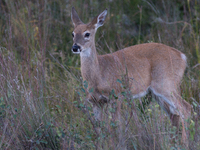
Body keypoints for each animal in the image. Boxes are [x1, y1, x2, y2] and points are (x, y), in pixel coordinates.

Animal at [70, 6, 191, 148]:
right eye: (73, 33)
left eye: (87, 34)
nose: (75, 47)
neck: (99, 75)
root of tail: (182, 56)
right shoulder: (96, 102)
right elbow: (99, 128)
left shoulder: (116, 95)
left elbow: (116, 125)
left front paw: (116, 144)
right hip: (157, 92)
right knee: (174, 114)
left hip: (166, 84)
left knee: (186, 109)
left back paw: (186, 143)